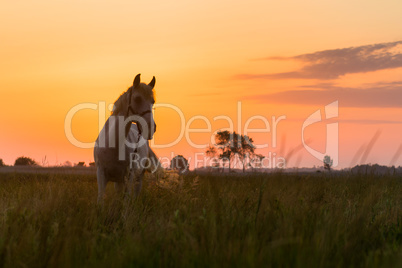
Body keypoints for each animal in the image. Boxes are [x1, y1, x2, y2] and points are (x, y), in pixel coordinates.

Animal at [94, 74, 160, 202]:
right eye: (137, 99)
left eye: (153, 102)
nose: (151, 128)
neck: (113, 145)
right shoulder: (101, 175)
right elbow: (100, 199)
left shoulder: (129, 177)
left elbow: (126, 200)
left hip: (138, 178)